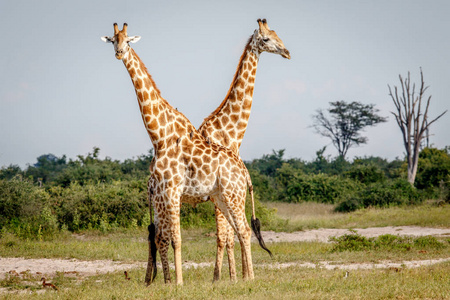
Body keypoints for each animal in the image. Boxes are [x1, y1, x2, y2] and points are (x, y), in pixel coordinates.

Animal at [102, 22, 268, 284]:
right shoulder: (163, 192)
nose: (119, 53)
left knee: (240, 230)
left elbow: (177, 238)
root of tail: (245, 171)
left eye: (127, 41)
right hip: (222, 197)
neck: (160, 136)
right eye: (112, 40)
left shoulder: (171, 191)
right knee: (238, 230)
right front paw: (169, 281)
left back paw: (246, 278)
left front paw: (179, 283)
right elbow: (165, 237)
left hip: (231, 196)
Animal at [145, 18, 292, 284]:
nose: (287, 52)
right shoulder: (220, 193)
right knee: (161, 234)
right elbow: (226, 236)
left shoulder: (222, 193)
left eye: (278, 34)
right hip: (166, 198)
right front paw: (227, 277)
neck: (229, 131)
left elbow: (229, 234)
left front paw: (234, 275)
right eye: (266, 39)